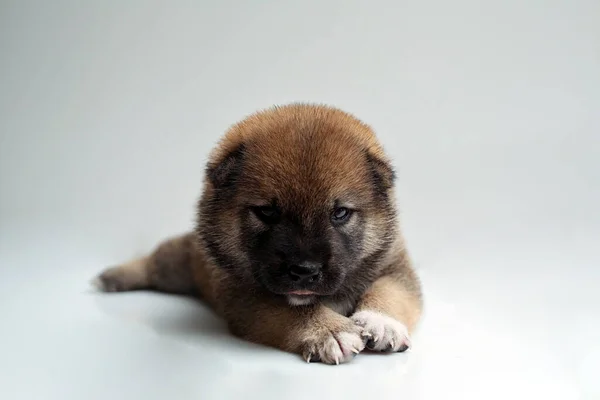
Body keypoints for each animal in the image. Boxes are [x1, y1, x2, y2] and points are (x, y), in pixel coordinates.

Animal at [95, 104, 422, 366]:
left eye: (340, 213)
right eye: (266, 212)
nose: (305, 271)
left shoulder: (396, 266)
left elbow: (391, 291)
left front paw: (381, 321)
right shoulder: (246, 296)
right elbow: (294, 313)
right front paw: (330, 331)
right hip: (174, 266)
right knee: (152, 263)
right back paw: (114, 276)